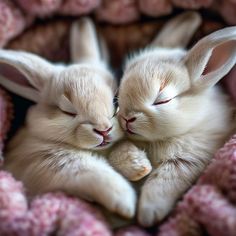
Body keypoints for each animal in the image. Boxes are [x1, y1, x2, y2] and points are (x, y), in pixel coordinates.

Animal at [0, 18, 140, 219]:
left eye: (115, 101)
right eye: (68, 111)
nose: (104, 130)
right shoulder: (48, 164)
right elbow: (95, 173)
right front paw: (125, 203)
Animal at [116, 15, 236, 226]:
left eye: (162, 100)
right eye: (120, 86)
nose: (126, 118)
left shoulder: (187, 159)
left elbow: (163, 182)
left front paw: (148, 214)